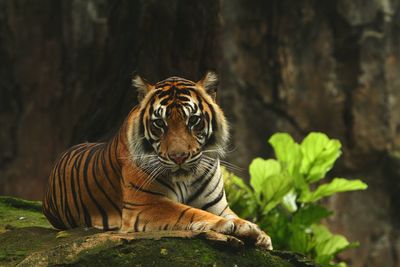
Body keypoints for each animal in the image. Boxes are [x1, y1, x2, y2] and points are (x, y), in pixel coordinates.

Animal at [43, 71, 274, 251]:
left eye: (193, 120)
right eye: (159, 124)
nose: (179, 156)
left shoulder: (217, 205)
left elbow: (231, 214)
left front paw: (257, 232)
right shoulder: (146, 204)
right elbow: (188, 212)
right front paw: (232, 226)